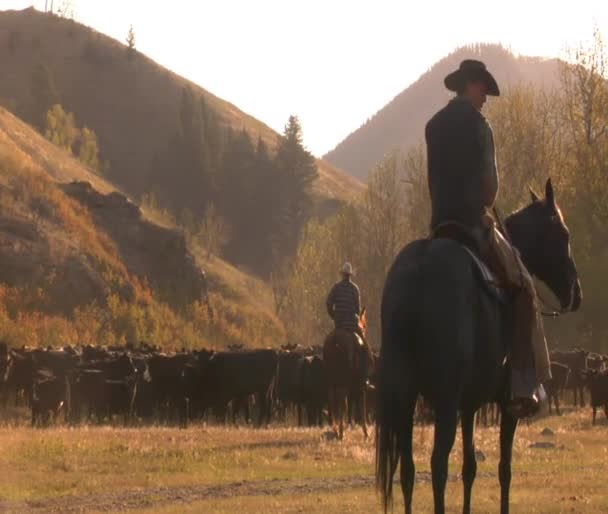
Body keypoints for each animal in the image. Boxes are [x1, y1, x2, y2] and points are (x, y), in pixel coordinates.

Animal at [324, 306, 370, 438]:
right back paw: (340, 431)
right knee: (341, 399)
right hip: (342, 380)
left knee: (334, 398)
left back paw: (337, 428)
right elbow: (361, 405)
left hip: (334, 379)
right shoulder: (360, 385)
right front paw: (365, 431)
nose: (364, 330)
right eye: (365, 325)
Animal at [378, 177, 580, 512]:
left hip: (405, 397)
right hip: (445, 401)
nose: (575, 293)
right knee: (437, 465)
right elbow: (504, 468)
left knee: (407, 470)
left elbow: (469, 467)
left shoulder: (470, 405)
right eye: (563, 234)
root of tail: (418, 270)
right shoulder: (506, 407)